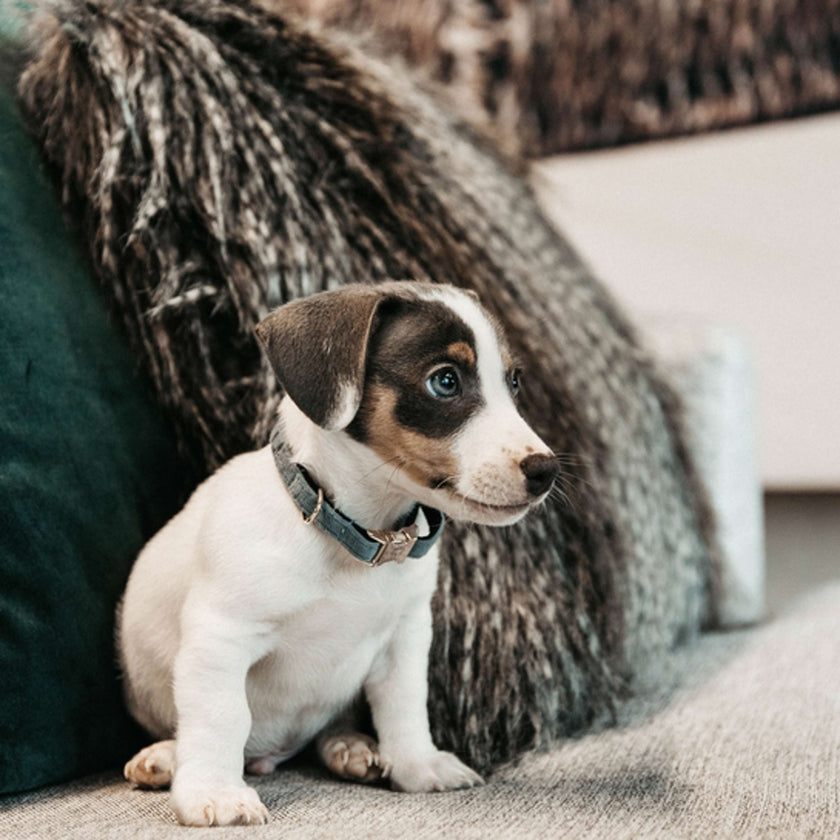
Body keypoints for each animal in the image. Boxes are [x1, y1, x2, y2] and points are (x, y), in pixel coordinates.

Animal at [116, 282, 552, 828]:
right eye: (445, 381)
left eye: (513, 381)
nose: (546, 470)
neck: (361, 539)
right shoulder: (221, 637)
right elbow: (221, 717)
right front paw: (215, 792)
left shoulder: (405, 635)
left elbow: (404, 705)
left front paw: (417, 764)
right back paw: (166, 758)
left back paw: (350, 748)